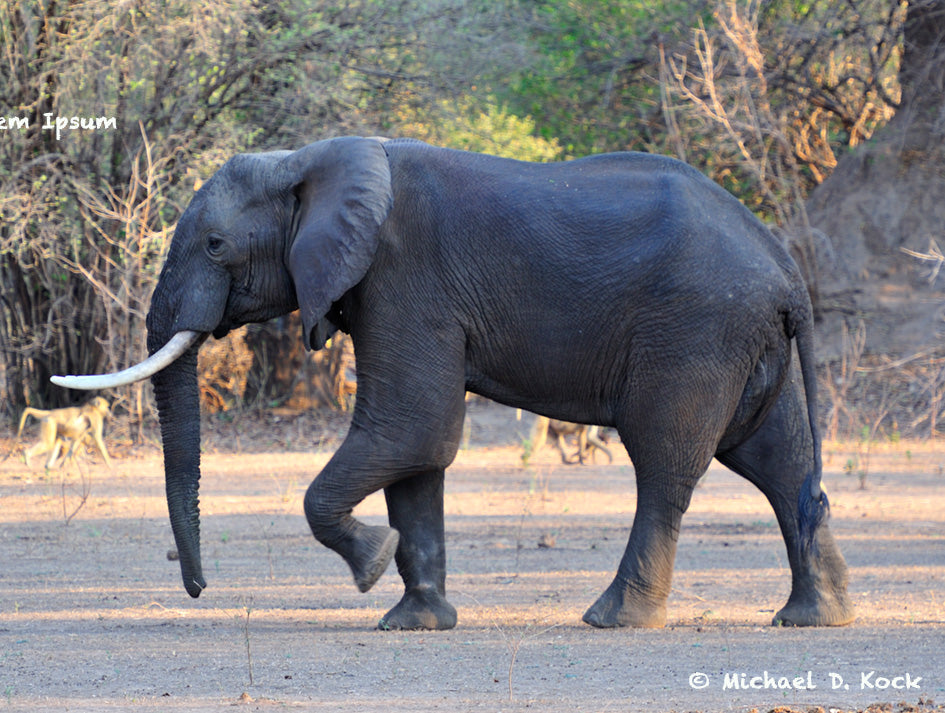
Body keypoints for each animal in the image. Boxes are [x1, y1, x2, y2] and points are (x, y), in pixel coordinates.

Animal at [53, 138, 856, 628]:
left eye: (217, 246)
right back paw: (815, 617)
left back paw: (613, 618)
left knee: (664, 462)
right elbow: (418, 451)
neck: (314, 158)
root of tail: (785, 269)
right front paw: (413, 621)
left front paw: (371, 562)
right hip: (746, 340)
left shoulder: (404, 280)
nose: (198, 588)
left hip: (694, 331)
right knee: (779, 463)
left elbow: (412, 426)